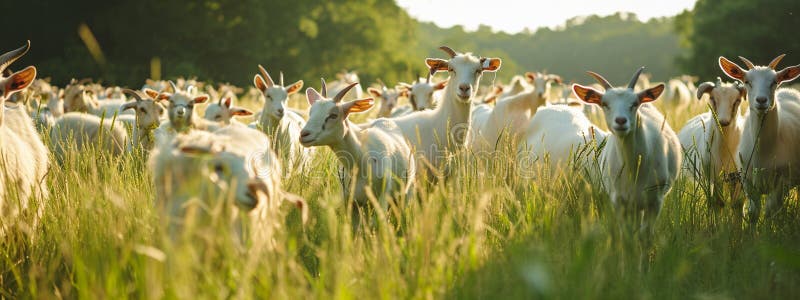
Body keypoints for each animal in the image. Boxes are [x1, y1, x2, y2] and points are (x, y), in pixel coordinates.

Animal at [572, 68, 680, 232]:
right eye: (604, 104)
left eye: (634, 103)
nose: (621, 121)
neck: (634, 169)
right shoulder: (619, 200)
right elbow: (627, 231)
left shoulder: (655, 201)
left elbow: (645, 232)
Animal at [720, 54, 800, 220]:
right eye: (747, 81)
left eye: (774, 82)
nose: (761, 100)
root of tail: (788, 91)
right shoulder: (747, 179)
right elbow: (753, 212)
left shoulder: (783, 181)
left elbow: (770, 211)